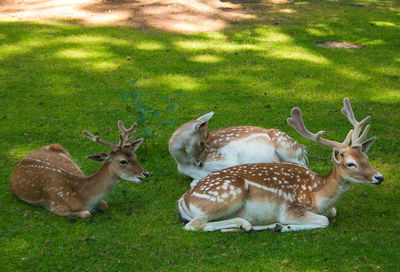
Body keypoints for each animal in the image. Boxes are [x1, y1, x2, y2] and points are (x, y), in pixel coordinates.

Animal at [10, 121, 150, 219]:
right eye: (123, 161)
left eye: (135, 156)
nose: (146, 173)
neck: (86, 198)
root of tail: (21, 161)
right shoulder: (56, 206)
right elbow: (87, 214)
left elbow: (104, 205)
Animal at [168, 111, 306, 185]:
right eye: (202, 142)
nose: (200, 163)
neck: (184, 165)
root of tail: (302, 148)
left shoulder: (227, 160)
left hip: (286, 148)